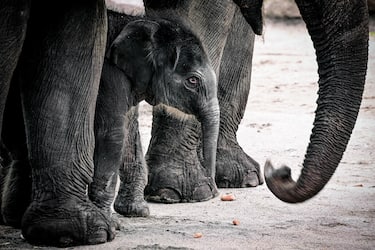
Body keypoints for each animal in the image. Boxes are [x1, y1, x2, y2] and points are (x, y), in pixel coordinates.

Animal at [0, 0, 220, 246]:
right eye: (192, 80)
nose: (214, 192)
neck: (137, 22)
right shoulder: (110, 76)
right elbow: (113, 134)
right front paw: (111, 225)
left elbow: (128, 132)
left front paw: (136, 212)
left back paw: (13, 217)